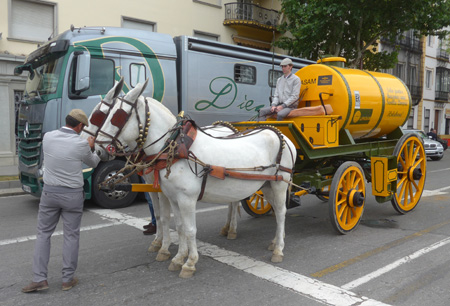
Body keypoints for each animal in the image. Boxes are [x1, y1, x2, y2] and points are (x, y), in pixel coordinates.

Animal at [95, 80, 298, 278]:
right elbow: (179, 227)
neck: (175, 148)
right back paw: (274, 241)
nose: (97, 149)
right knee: (276, 211)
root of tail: (284, 138)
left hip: (279, 184)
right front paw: (178, 258)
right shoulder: (172, 197)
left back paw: (278, 249)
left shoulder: (187, 199)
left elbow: (190, 229)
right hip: (267, 184)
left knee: (281, 213)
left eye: (117, 116)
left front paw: (190, 262)